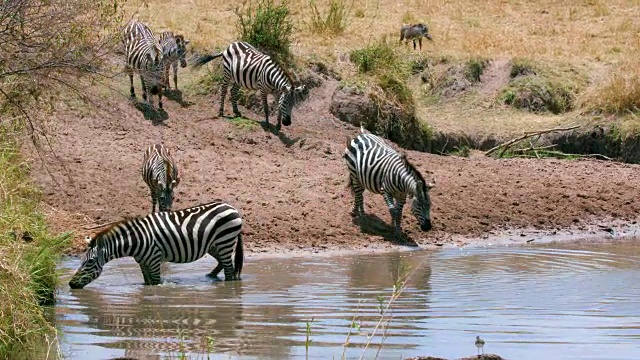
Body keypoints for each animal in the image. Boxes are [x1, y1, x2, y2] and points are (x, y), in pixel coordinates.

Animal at [69, 200, 245, 290]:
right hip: (214, 245)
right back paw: (210, 276)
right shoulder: (142, 262)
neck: (136, 240)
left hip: (225, 241)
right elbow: (146, 283)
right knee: (222, 264)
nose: (71, 284)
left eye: (90, 261)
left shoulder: (153, 260)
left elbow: (155, 283)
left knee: (229, 271)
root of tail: (231, 207)